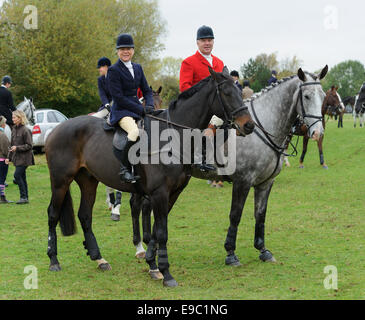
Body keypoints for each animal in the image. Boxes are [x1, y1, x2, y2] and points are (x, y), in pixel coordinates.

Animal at [44, 66, 253, 286]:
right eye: (227, 93)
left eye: (240, 92)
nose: (249, 125)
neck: (173, 136)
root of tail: (57, 128)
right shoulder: (159, 193)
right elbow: (161, 232)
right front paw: (166, 272)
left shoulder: (173, 193)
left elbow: (155, 229)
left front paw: (153, 264)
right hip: (60, 181)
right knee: (53, 214)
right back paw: (54, 260)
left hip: (88, 181)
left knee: (85, 215)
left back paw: (99, 258)